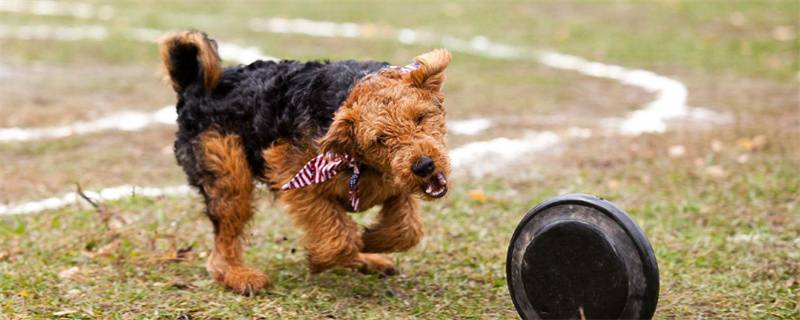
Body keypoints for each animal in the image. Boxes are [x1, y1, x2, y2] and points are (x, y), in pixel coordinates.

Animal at [159, 31, 454, 296]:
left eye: (419, 117)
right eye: (380, 139)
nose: (424, 166)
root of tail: (194, 87)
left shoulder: (395, 187)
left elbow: (406, 230)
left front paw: (370, 241)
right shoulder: (291, 173)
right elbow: (340, 236)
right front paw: (321, 258)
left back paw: (369, 259)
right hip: (230, 177)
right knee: (222, 246)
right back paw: (240, 276)